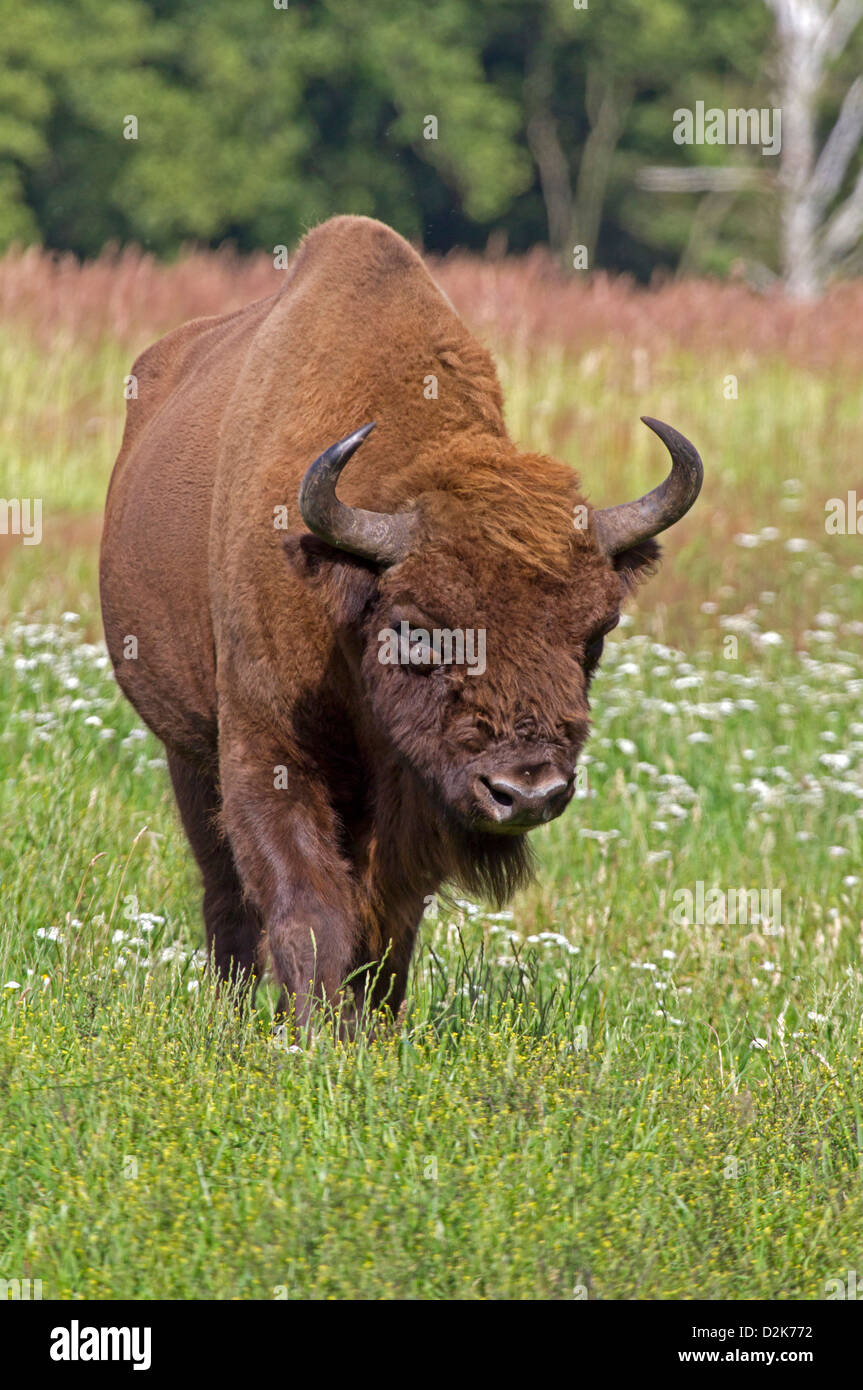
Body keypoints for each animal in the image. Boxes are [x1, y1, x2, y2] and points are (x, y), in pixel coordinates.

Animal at [100, 214, 703, 1023]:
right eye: (415, 627)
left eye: (596, 634)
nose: (527, 791)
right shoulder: (265, 752)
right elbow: (306, 905)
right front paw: (319, 1033)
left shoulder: (412, 800)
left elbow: (390, 918)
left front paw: (371, 1027)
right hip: (188, 750)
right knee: (224, 890)